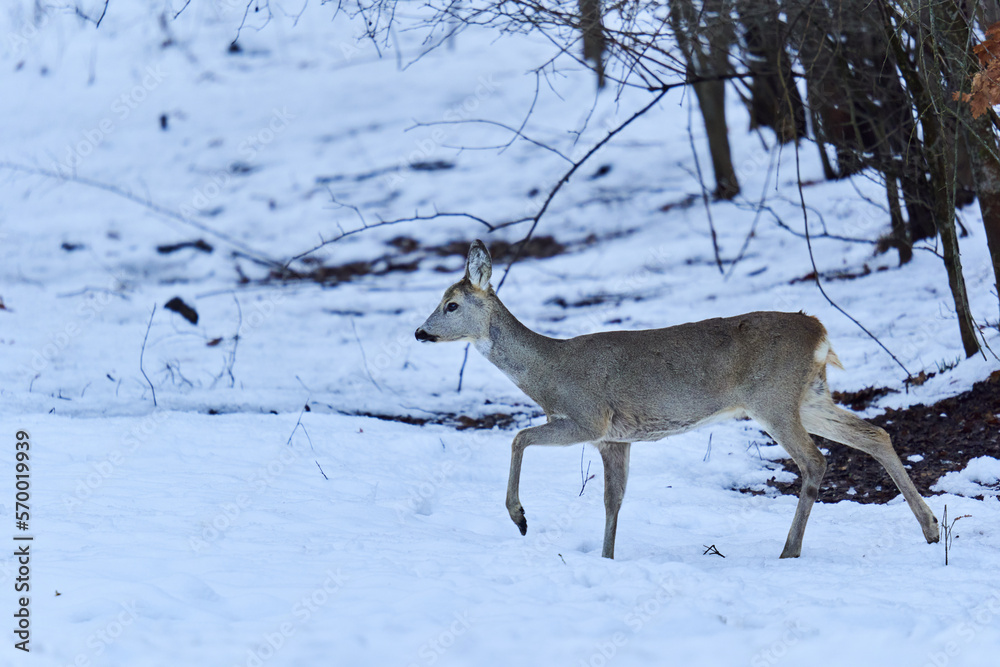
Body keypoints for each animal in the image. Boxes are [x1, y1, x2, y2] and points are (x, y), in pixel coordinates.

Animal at [415, 240, 940, 559]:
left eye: (451, 304)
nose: (419, 332)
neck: (549, 371)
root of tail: (818, 329)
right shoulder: (615, 438)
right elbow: (613, 500)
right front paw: (606, 558)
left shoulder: (588, 417)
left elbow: (518, 438)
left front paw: (520, 517)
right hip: (807, 395)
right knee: (874, 433)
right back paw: (932, 528)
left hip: (771, 398)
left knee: (815, 460)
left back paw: (788, 551)